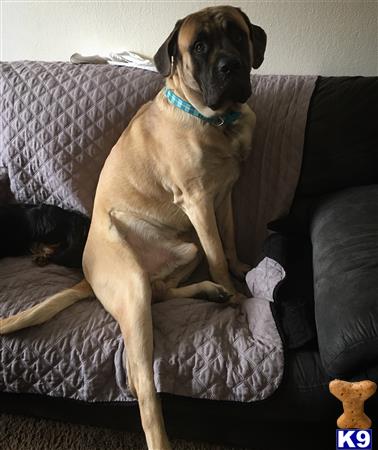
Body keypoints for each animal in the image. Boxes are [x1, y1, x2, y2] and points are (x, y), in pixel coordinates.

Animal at [0, 7, 266, 450]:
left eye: (236, 35)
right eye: (199, 47)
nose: (230, 66)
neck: (214, 120)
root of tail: (88, 274)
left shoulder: (224, 195)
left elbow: (227, 243)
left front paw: (237, 273)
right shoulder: (198, 202)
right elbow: (217, 254)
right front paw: (233, 291)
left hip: (183, 249)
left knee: (162, 290)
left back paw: (208, 291)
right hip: (134, 290)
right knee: (143, 387)